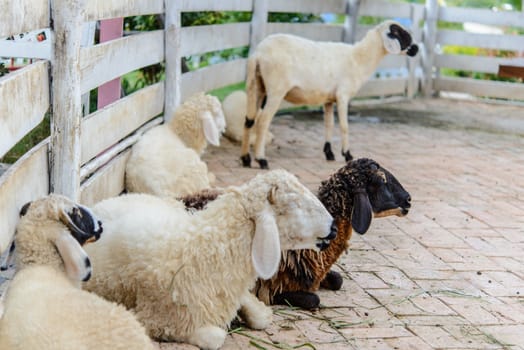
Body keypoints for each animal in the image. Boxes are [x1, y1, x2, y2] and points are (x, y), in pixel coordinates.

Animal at [82, 168, 336, 348]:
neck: (203, 249)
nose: (333, 227)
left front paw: (259, 311)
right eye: (293, 203)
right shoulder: (164, 321)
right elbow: (215, 337)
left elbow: (259, 317)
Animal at [239, 19, 420, 169]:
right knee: (263, 121)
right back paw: (261, 160)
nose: (417, 49)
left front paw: (329, 153)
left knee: (249, 120)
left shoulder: (329, 99)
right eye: (401, 34)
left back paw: (246, 159)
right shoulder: (343, 95)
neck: (358, 59)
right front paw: (347, 155)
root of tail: (258, 54)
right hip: (276, 89)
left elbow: (329, 124)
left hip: (256, 86)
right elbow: (344, 126)